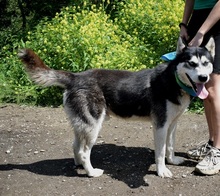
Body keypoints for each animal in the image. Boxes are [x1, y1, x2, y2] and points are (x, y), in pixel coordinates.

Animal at [18, 37, 214, 178]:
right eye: (191, 63)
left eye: (206, 63)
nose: (203, 78)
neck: (173, 80)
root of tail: (75, 77)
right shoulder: (160, 126)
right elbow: (159, 153)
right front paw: (162, 171)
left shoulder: (172, 124)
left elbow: (170, 146)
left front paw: (172, 160)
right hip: (93, 126)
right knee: (83, 151)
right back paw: (91, 172)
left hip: (82, 125)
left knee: (75, 146)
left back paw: (80, 166)